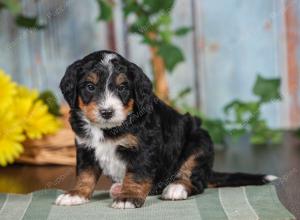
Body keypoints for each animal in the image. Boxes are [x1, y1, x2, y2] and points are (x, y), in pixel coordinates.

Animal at [54, 50, 276, 209]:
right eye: (90, 87)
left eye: (123, 88)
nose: (107, 112)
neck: (108, 129)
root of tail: (209, 172)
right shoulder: (85, 147)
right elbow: (85, 174)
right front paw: (76, 194)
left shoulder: (143, 148)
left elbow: (136, 174)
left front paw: (128, 197)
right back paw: (118, 188)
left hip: (199, 142)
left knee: (195, 181)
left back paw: (176, 188)